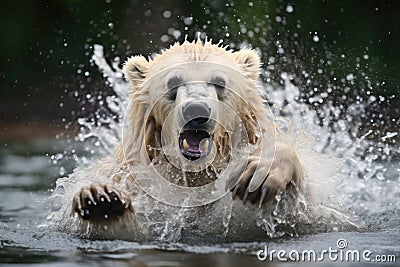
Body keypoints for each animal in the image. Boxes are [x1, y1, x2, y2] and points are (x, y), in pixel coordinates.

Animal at [66, 39, 304, 241]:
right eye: (173, 82)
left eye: (220, 82)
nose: (196, 110)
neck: (196, 173)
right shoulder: (131, 173)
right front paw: (100, 200)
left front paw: (260, 174)